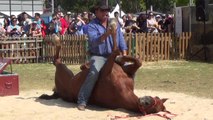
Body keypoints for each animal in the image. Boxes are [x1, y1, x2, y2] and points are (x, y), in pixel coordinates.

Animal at [39, 19, 167, 114]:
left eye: (150, 105)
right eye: (156, 97)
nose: (144, 100)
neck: (124, 90)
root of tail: (59, 93)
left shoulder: (107, 71)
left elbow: (115, 49)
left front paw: (113, 27)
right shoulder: (126, 70)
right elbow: (137, 61)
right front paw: (120, 58)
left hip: (63, 72)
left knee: (56, 61)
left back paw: (56, 40)